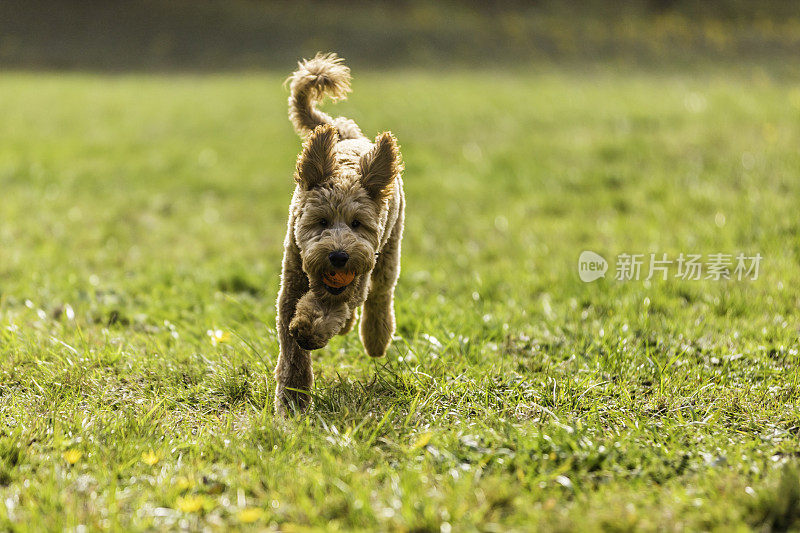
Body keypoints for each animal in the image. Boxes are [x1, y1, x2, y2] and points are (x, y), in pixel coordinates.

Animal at [274, 54, 404, 414]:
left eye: (357, 223)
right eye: (320, 222)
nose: (339, 256)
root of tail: (347, 134)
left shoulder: (351, 283)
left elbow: (329, 311)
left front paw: (310, 329)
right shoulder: (290, 287)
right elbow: (292, 354)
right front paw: (292, 400)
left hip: (387, 253)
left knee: (379, 295)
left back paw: (375, 339)